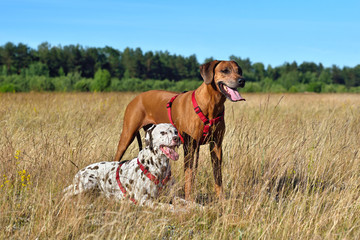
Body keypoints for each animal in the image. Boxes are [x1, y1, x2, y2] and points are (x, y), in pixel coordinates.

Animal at [114, 60, 246, 201]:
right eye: (225, 70)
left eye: (239, 70)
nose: (242, 80)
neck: (211, 105)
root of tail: (136, 98)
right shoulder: (189, 147)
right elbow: (189, 175)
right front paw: (189, 199)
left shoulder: (216, 145)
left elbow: (217, 174)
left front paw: (221, 200)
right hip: (127, 135)